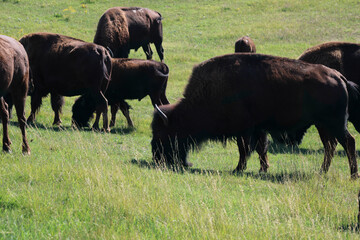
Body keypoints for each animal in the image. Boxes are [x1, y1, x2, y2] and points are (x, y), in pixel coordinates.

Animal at [152, 53, 360, 179]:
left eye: (163, 134)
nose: (156, 158)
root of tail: (339, 77)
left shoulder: (244, 130)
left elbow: (244, 149)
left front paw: (238, 168)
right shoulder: (258, 128)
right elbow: (261, 148)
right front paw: (263, 168)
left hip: (335, 124)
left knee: (347, 142)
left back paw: (352, 175)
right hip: (322, 125)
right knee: (330, 146)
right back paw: (321, 172)